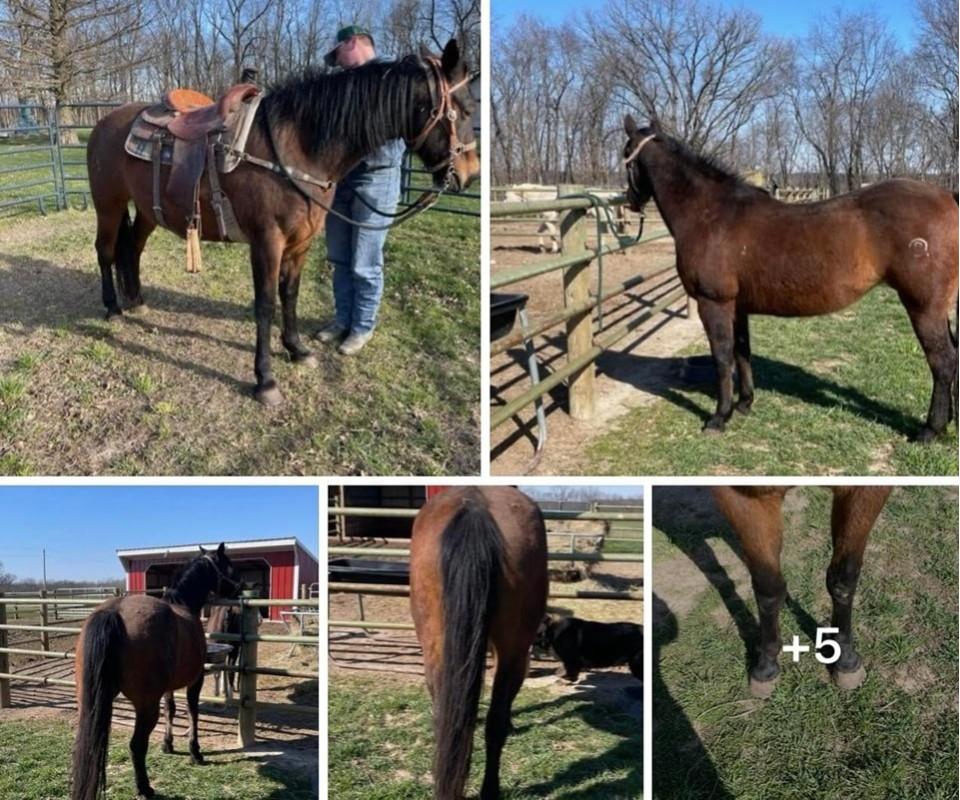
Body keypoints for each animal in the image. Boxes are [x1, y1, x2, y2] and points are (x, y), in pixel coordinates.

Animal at [71, 543, 239, 800]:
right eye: (228, 565)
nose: (239, 588)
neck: (184, 604)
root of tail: (114, 612)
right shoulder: (196, 680)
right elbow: (192, 712)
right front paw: (195, 752)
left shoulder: (168, 687)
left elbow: (171, 709)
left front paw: (168, 745)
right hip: (146, 707)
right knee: (137, 745)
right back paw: (145, 788)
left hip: (90, 701)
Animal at [86, 39, 479, 405]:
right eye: (463, 110)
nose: (470, 174)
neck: (297, 148)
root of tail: (106, 121)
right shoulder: (267, 242)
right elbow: (265, 304)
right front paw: (266, 380)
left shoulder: (300, 243)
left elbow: (290, 295)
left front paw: (297, 350)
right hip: (109, 204)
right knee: (105, 251)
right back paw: (113, 308)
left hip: (147, 211)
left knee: (131, 250)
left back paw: (136, 300)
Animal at [409, 486, 547, 800]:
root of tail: (475, 505)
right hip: (512, 649)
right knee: (492, 724)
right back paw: (489, 790)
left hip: (435, 646)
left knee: (448, 717)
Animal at [622, 116, 958, 441]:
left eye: (625, 153)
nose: (631, 201)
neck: (710, 214)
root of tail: (948, 198)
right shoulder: (737, 306)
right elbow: (742, 352)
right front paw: (744, 404)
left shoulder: (714, 303)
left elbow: (722, 357)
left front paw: (719, 418)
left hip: (923, 307)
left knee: (942, 362)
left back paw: (930, 430)